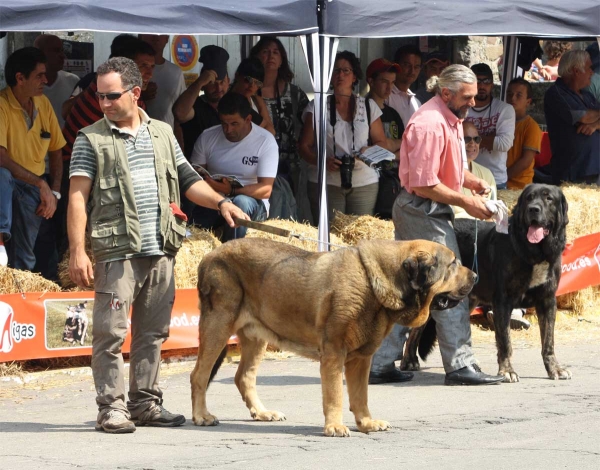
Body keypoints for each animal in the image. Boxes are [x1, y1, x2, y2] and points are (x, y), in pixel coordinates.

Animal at [190, 239, 476, 436]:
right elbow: (336, 394)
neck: (377, 282)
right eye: (452, 264)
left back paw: (262, 413)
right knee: (199, 375)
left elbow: (360, 395)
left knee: (244, 377)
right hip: (218, 325)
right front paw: (335, 427)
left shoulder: (361, 358)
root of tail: (209, 255)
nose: (476, 275)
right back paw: (202, 416)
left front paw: (366, 422)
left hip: (256, 335)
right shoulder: (334, 354)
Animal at [404, 183, 572, 382]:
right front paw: (507, 370)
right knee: (413, 330)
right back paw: (408, 361)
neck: (534, 253)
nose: (533, 209)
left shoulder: (547, 301)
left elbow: (548, 341)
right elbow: (505, 341)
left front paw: (554, 368)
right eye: (529, 198)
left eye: (548, 198)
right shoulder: (503, 301)